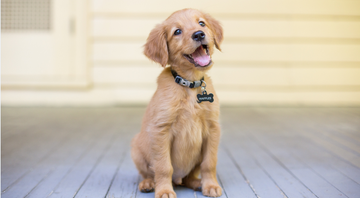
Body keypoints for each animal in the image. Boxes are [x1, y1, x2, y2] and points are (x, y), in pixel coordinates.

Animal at [131, 8, 224, 198]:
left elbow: (209, 162)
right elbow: (163, 166)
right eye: (177, 31)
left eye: (201, 23)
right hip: (136, 147)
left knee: (188, 178)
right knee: (147, 173)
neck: (190, 85)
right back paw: (148, 183)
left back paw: (197, 183)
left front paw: (210, 185)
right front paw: (164, 191)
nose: (198, 34)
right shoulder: (161, 130)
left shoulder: (213, 128)